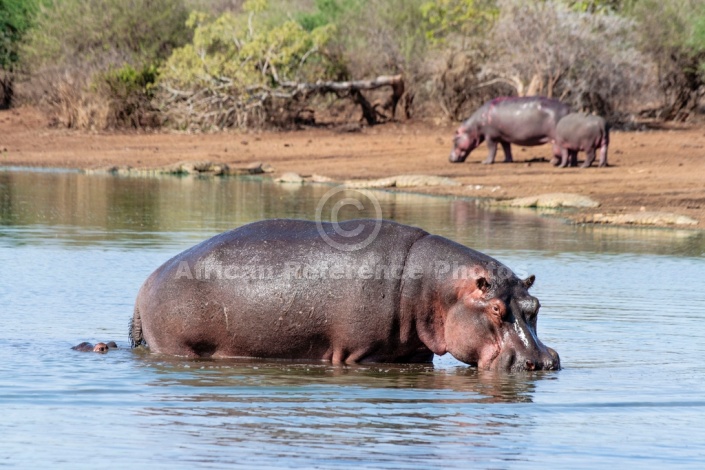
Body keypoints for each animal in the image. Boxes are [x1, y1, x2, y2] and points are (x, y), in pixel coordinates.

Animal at [129, 218, 560, 372]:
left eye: (535, 306)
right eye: (496, 309)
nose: (544, 361)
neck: (436, 287)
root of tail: (145, 283)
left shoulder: (414, 354)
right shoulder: (359, 355)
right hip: (177, 346)